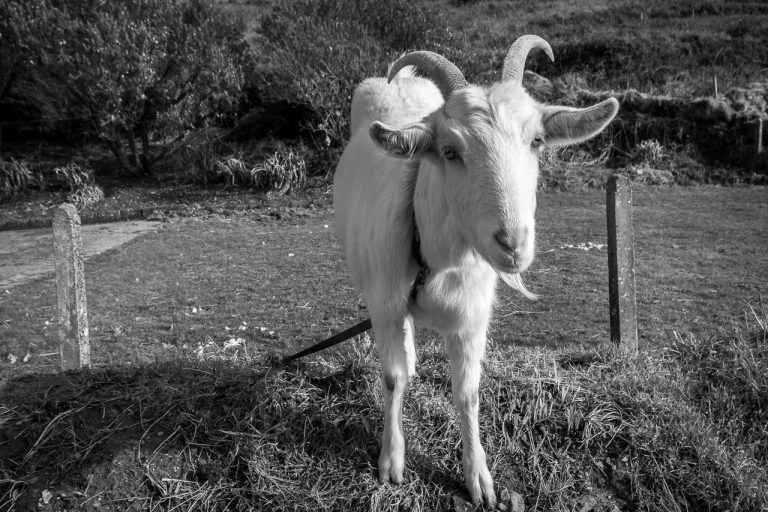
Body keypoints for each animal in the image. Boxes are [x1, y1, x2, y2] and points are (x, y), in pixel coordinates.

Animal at [333, 35, 619, 507]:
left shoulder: (471, 319)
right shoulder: (385, 302)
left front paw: (479, 478)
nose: (512, 243)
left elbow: (467, 394)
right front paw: (391, 462)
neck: (435, 258)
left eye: (537, 140)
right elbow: (392, 379)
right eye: (450, 151)